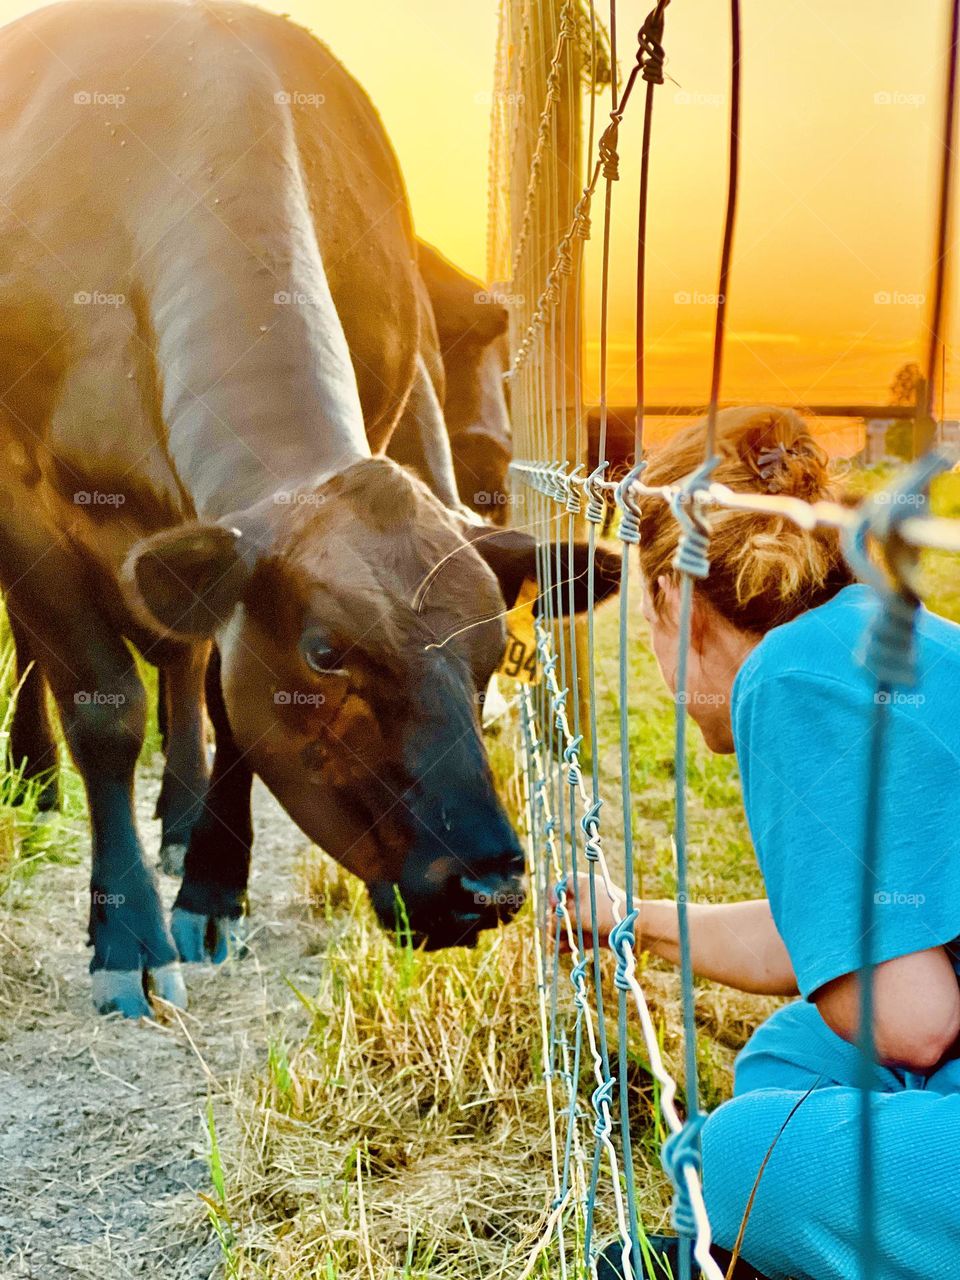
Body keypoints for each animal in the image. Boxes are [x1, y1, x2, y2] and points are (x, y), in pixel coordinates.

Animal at [0, 0, 618, 1017]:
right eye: (327, 653)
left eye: (495, 650)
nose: (488, 888)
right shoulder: (22, 504)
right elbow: (104, 708)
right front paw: (128, 934)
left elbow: (221, 693)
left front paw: (211, 887)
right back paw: (36, 777)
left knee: (181, 661)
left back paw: (180, 816)